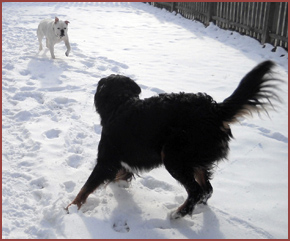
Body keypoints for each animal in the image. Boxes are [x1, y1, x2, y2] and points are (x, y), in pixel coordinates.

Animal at [67, 61, 280, 219]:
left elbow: (86, 187)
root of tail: (215, 110)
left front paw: (70, 209)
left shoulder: (107, 159)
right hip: (193, 158)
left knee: (196, 190)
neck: (121, 104)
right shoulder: (123, 158)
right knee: (207, 189)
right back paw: (195, 209)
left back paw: (178, 213)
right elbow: (121, 175)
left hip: (173, 156)